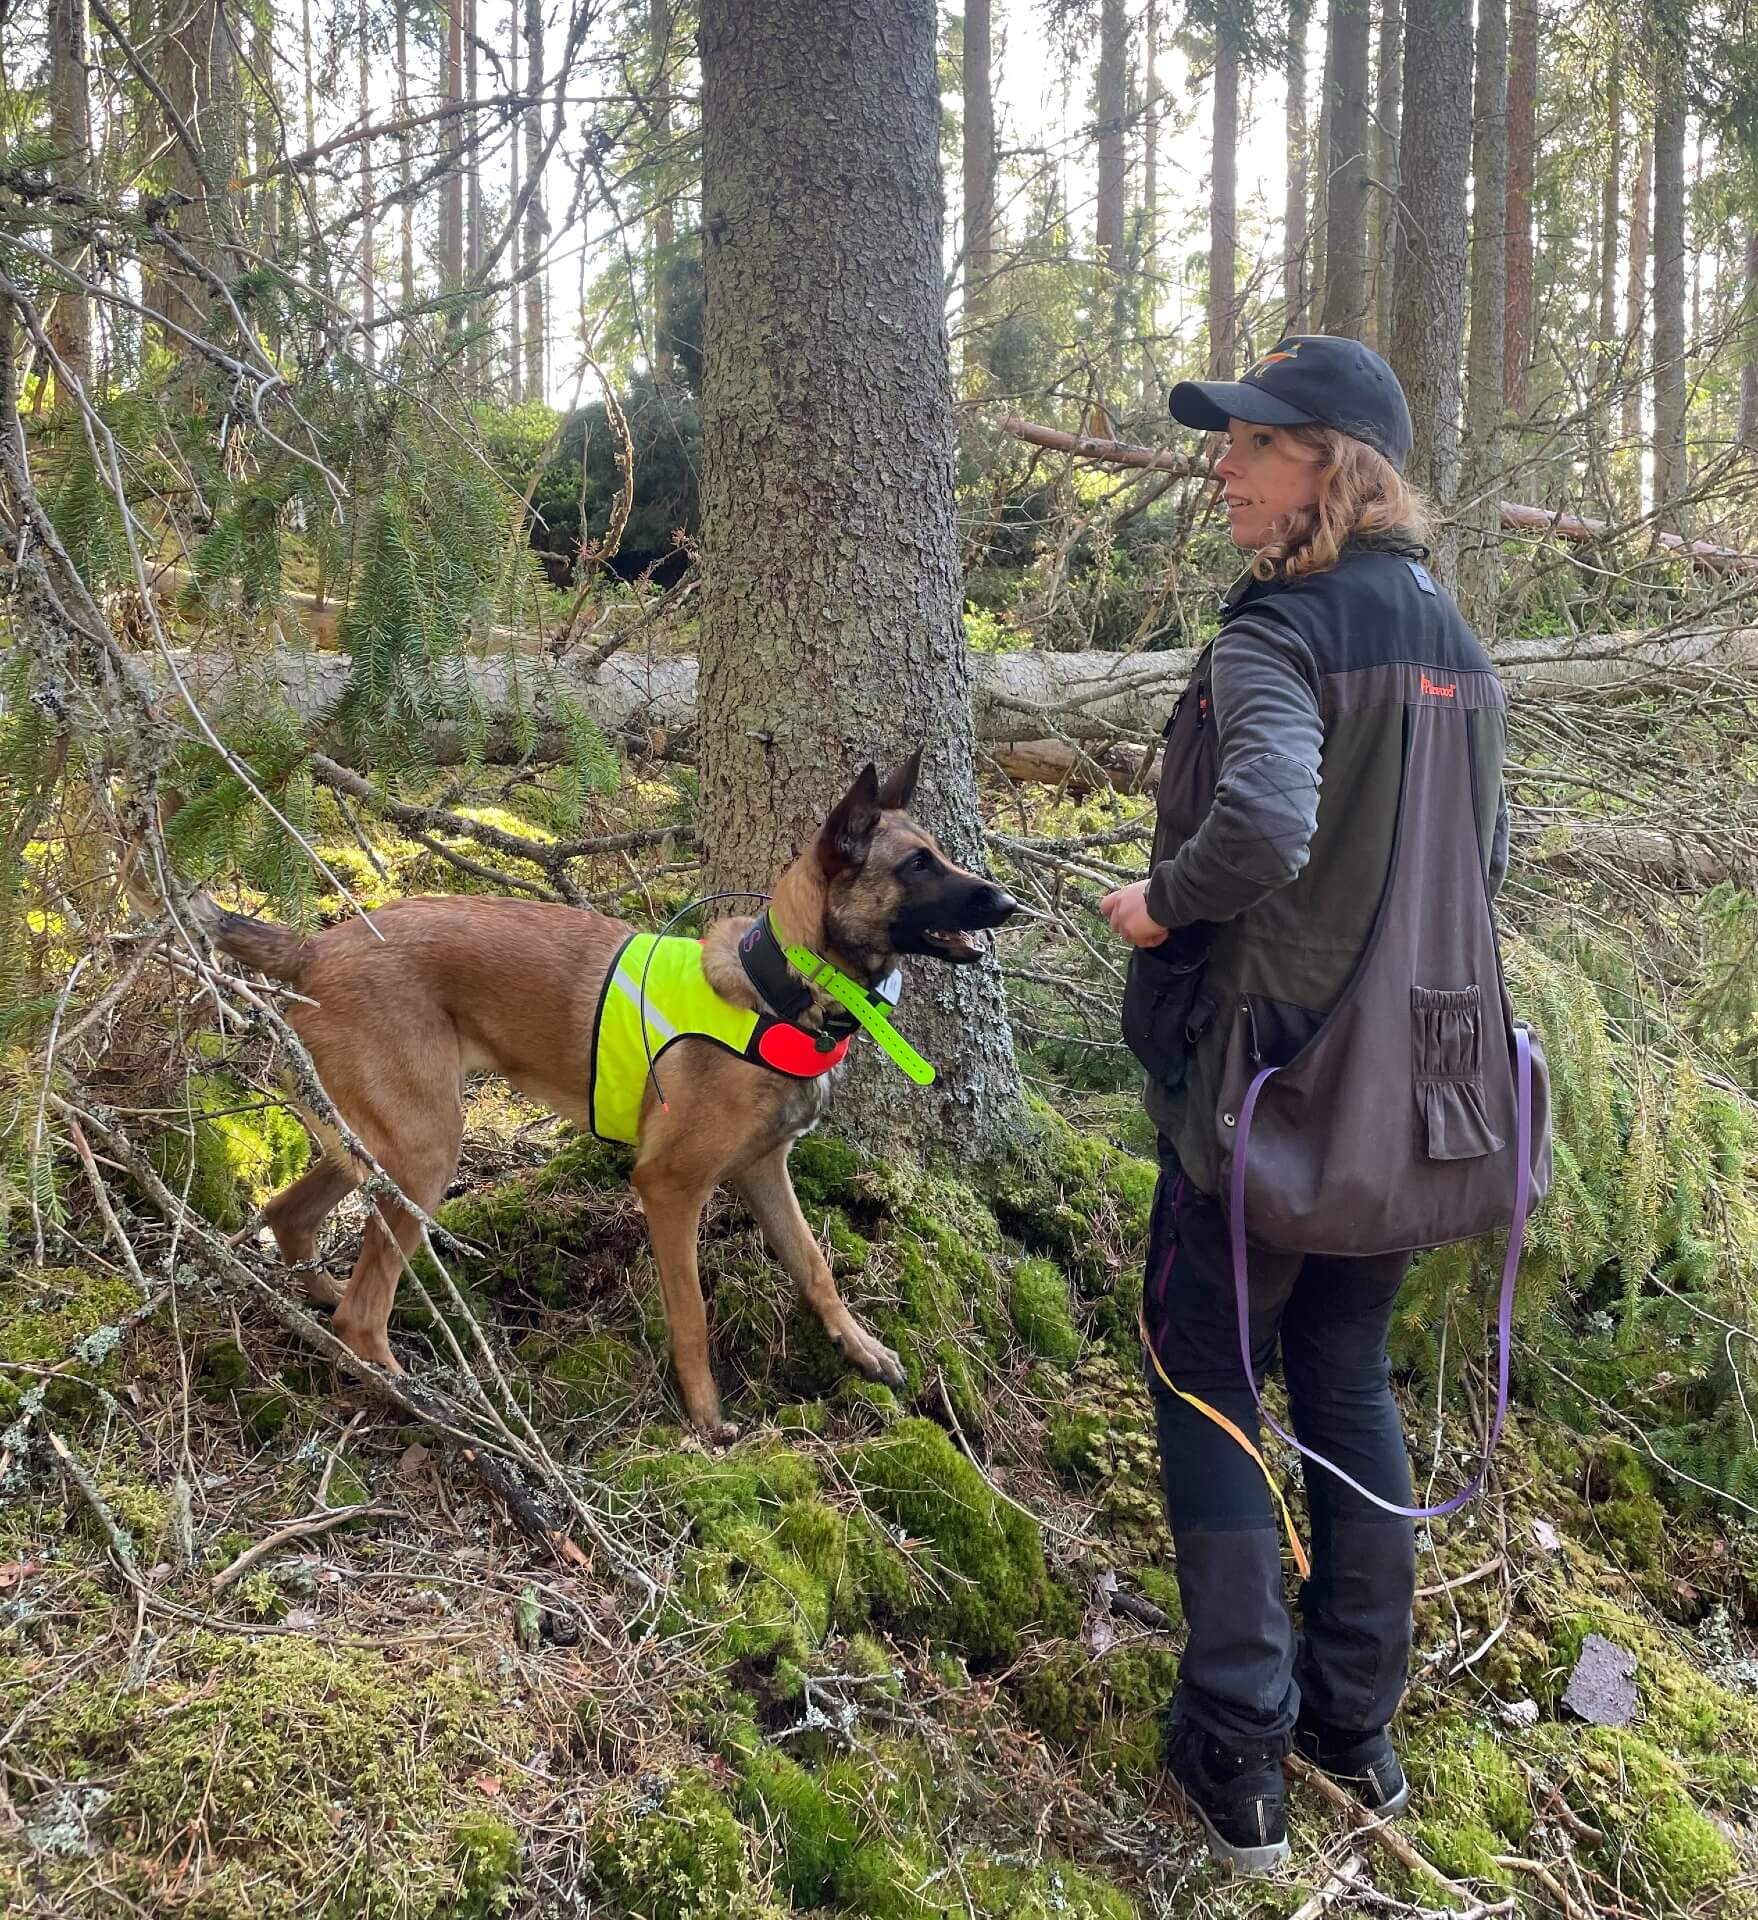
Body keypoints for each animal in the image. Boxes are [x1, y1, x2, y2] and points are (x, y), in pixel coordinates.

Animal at [195, 756, 1013, 1436]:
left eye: (938, 853)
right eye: (916, 864)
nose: (1008, 904)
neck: (780, 990)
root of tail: (314, 947)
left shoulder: (763, 1169)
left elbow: (815, 1266)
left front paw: (860, 1346)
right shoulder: (671, 1187)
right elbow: (690, 1310)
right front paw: (705, 1417)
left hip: (380, 1138)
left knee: (291, 1219)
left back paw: (321, 1301)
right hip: (426, 1151)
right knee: (364, 1317)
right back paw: (433, 1407)